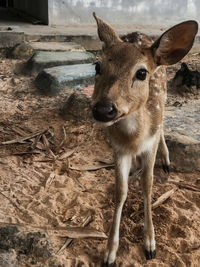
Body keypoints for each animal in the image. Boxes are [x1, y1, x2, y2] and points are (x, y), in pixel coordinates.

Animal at [92, 11, 198, 266]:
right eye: (97, 66)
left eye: (141, 73)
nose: (103, 109)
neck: (134, 139)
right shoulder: (118, 149)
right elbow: (120, 191)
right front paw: (109, 253)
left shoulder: (149, 144)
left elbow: (148, 185)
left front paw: (150, 245)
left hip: (165, 99)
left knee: (163, 125)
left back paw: (166, 160)